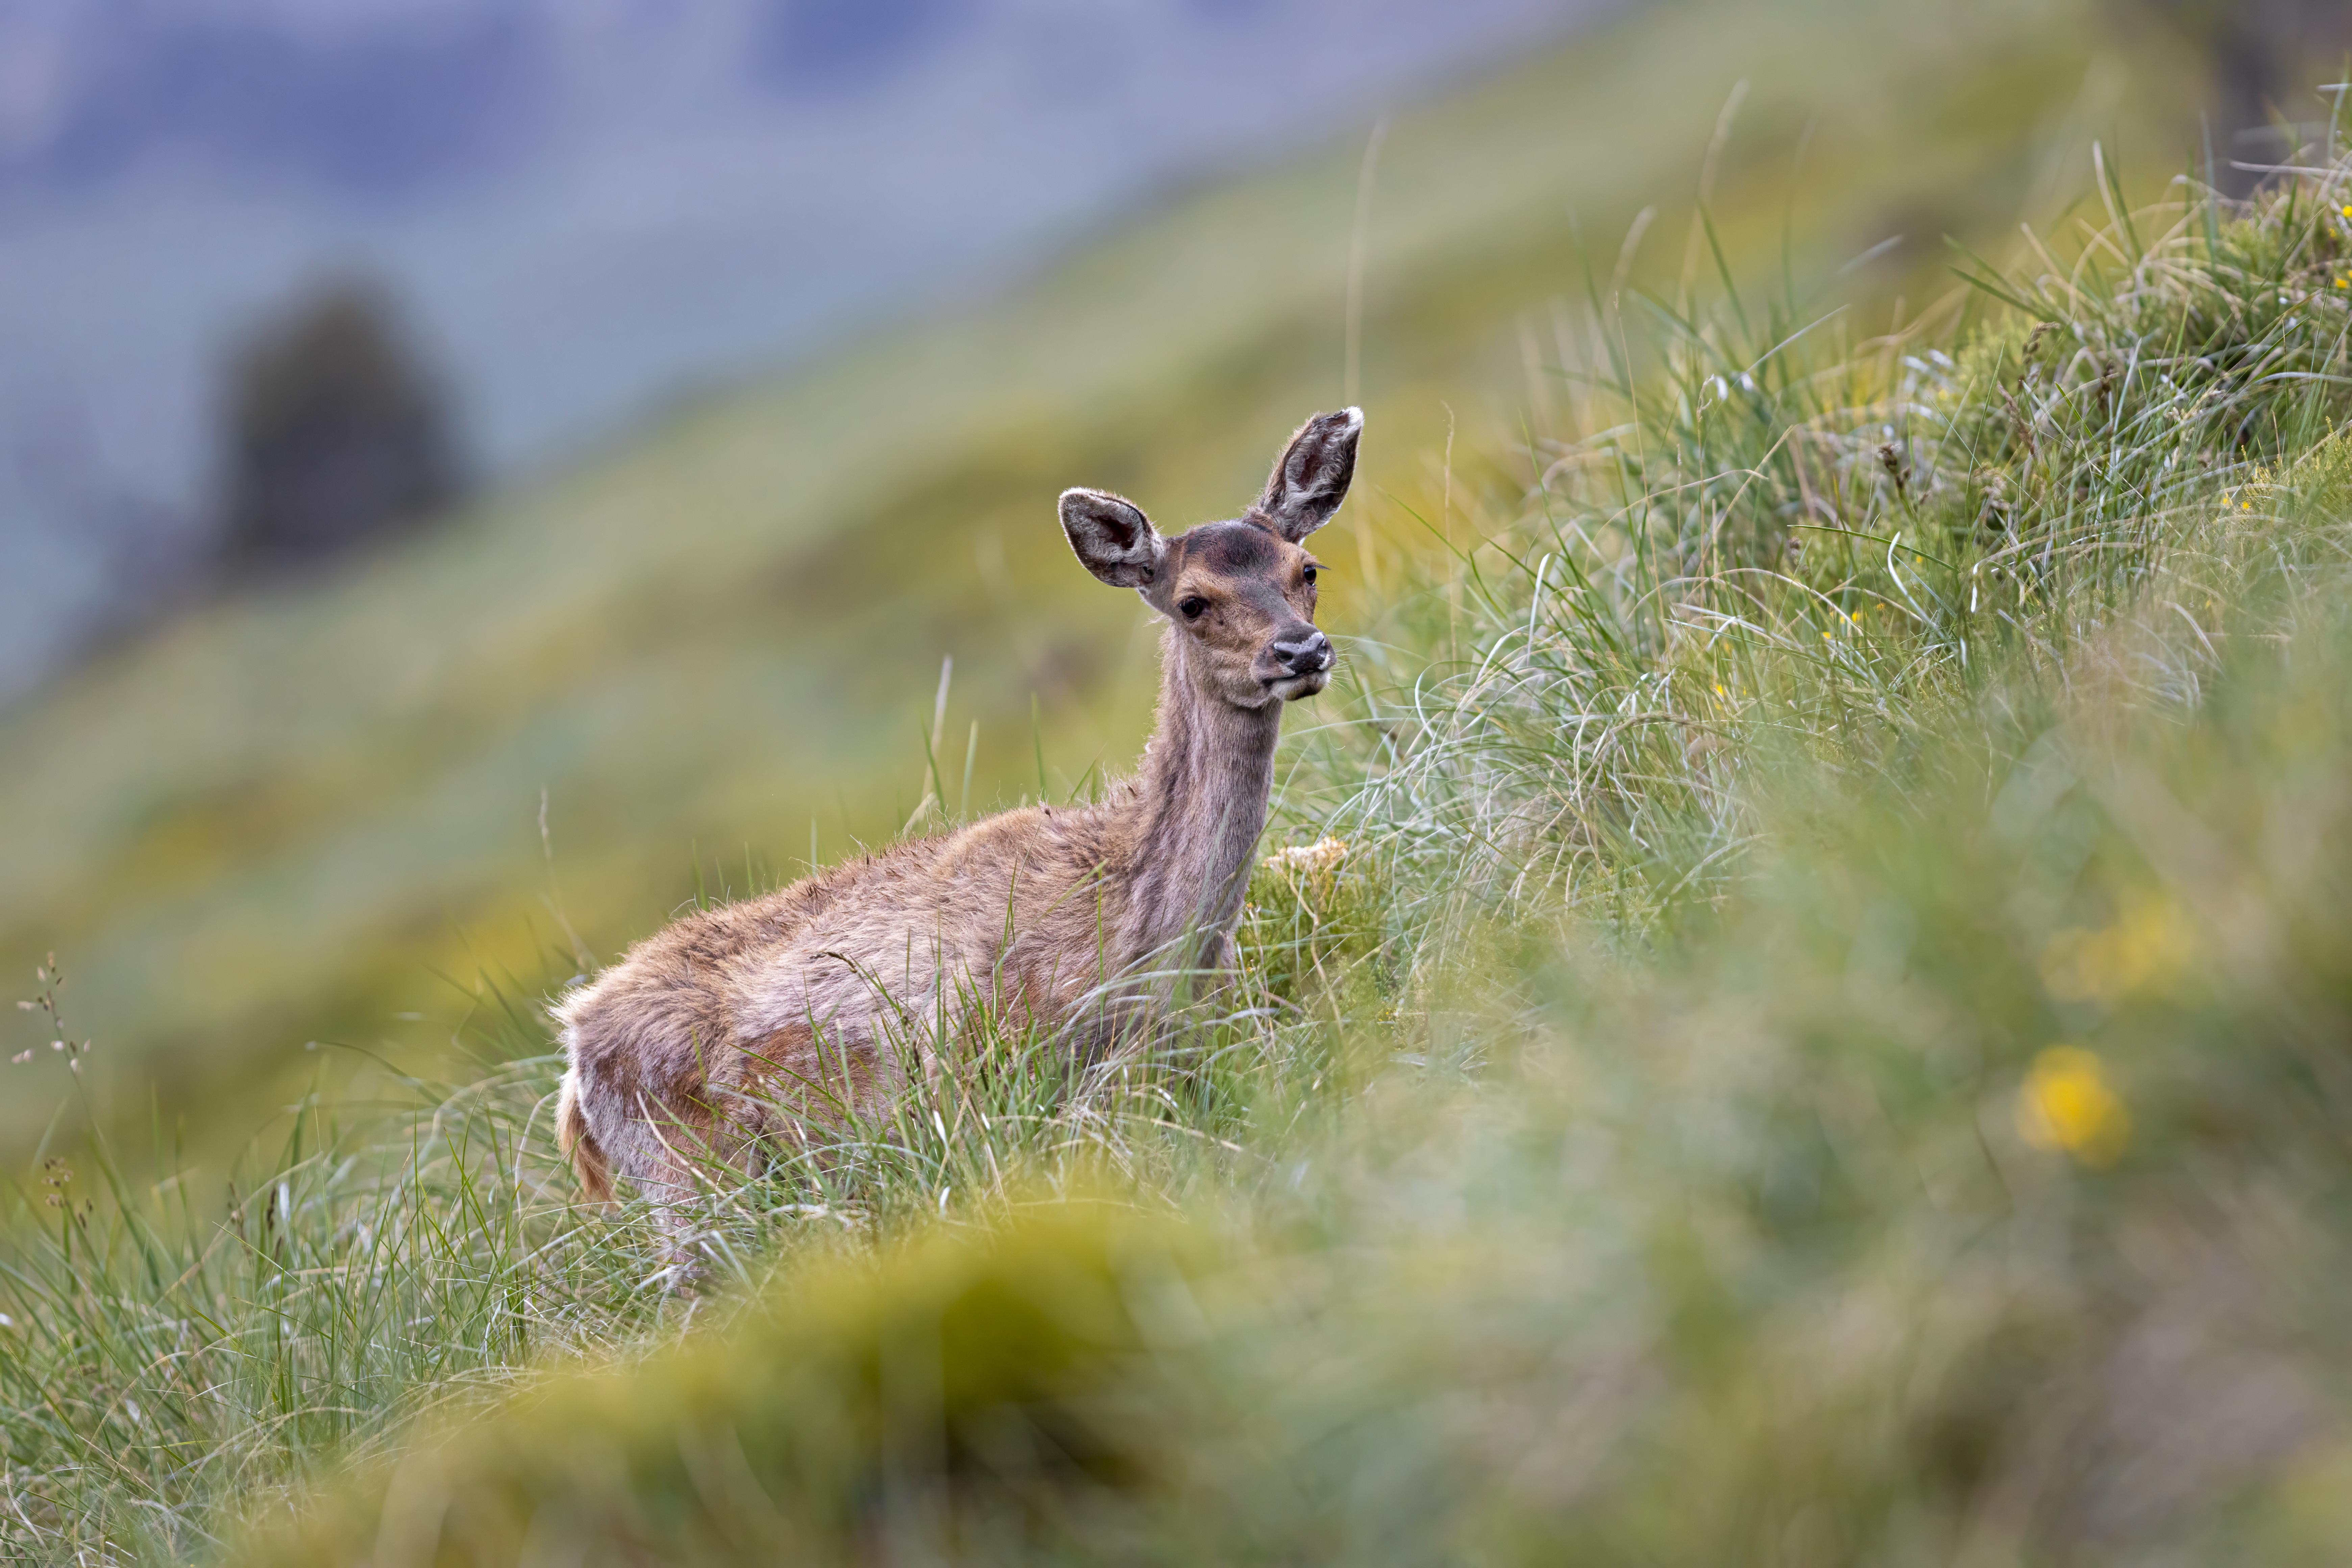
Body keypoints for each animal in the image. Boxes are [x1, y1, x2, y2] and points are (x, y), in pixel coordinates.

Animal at [553, 409, 1364, 1279]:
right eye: (1191, 601)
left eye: (1306, 567)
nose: (1301, 650)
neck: (1139, 925)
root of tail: (573, 1058)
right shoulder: (997, 1078)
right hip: (693, 1179)